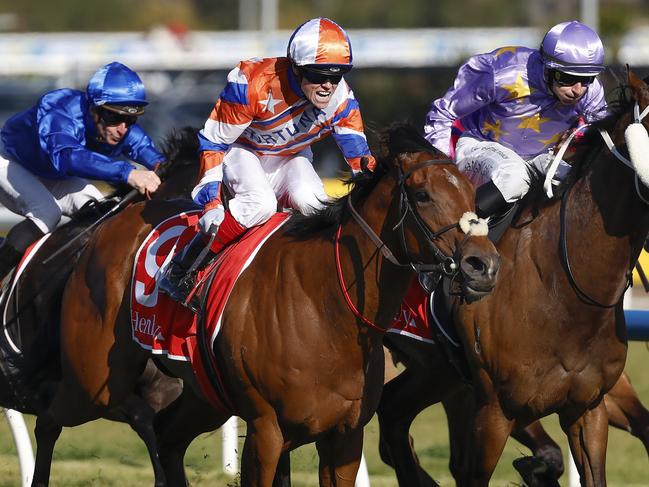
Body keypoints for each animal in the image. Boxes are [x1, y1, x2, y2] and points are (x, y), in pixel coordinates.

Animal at [33, 125, 502, 487]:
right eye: (421, 195)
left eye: (470, 191)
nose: (484, 265)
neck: (327, 309)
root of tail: (116, 221)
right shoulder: (266, 430)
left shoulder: (345, 437)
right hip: (95, 383)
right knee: (49, 420)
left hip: (203, 394)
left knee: (166, 438)